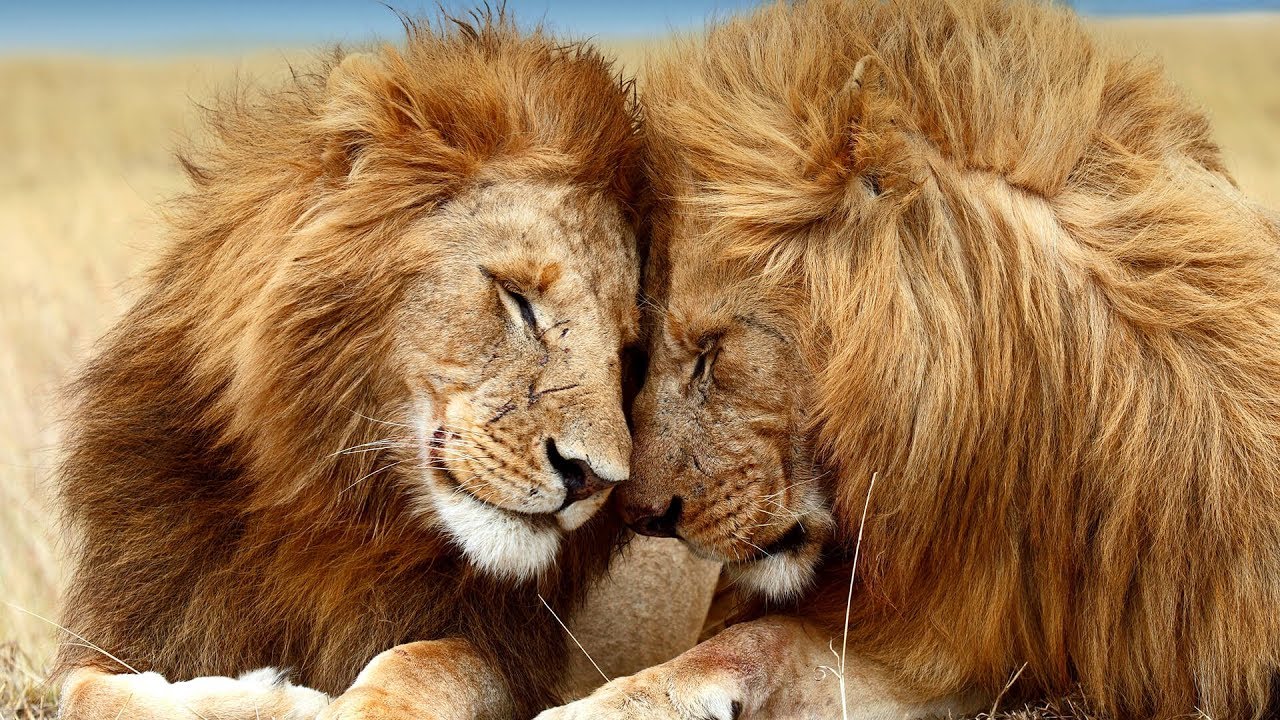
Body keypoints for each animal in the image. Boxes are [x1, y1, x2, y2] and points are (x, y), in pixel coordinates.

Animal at [54, 13, 653, 720]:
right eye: (517, 298)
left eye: (628, 352)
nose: (594, 480)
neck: (325, 505)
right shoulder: (135, 620)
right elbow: (91, 693)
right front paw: (260, 692)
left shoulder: (502, 651)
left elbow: (421, 668)